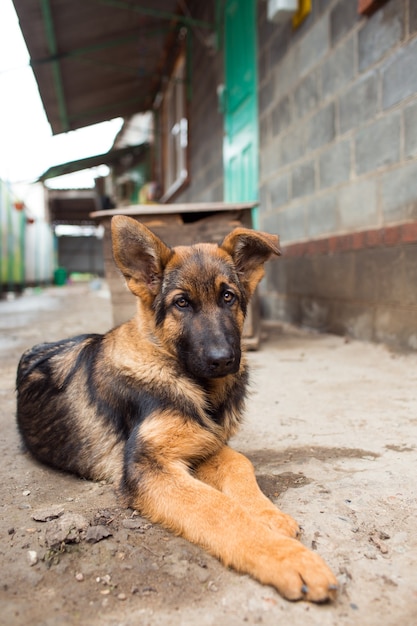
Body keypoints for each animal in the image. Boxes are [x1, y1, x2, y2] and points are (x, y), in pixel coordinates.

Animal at [16, 216, 336, 600]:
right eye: (181, 303)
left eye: (228, 297)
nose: (223, 360)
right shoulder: (149, 466)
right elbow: (216, 507)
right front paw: (288, 557)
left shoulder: (205, 444)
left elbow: (240, 463)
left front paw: (267, 515)